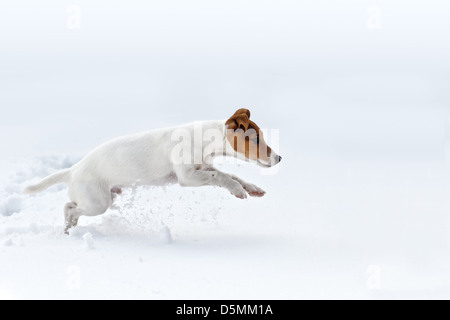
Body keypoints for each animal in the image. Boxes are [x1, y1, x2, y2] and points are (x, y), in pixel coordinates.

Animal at [22, 109, 282, 232]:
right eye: (255, 139)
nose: (279, 158)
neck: (204, 138)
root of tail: (72, 170)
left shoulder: (204, 166)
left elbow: (230, 175)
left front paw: (252, 188)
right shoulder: (187, 176)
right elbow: (221, 176)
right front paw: (238, 190)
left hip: (106, 198)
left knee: (71, 208)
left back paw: (69, 230)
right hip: (97, 202)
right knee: (69, 207)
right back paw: (68, 228)